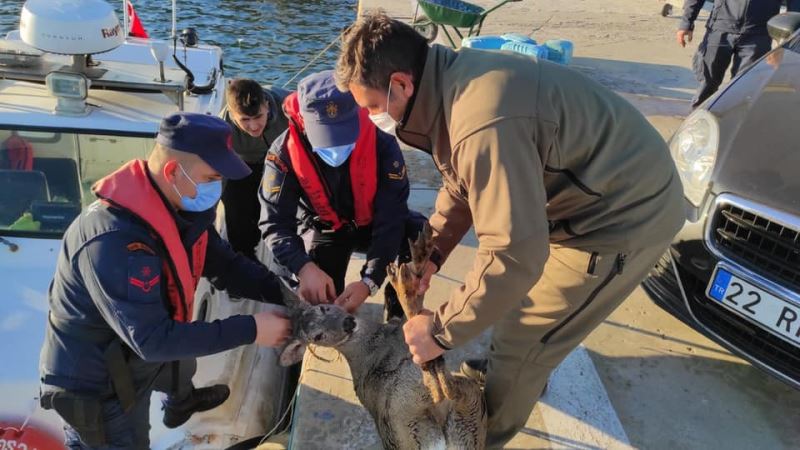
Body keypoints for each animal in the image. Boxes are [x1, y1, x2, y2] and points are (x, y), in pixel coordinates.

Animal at [278, 223, 484, 448]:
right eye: (317, 336)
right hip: (418, 413)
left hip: (467, 416)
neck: (375, 341)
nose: (348, 323)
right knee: (444, 389)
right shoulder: (401, 334)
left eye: (324, 307)